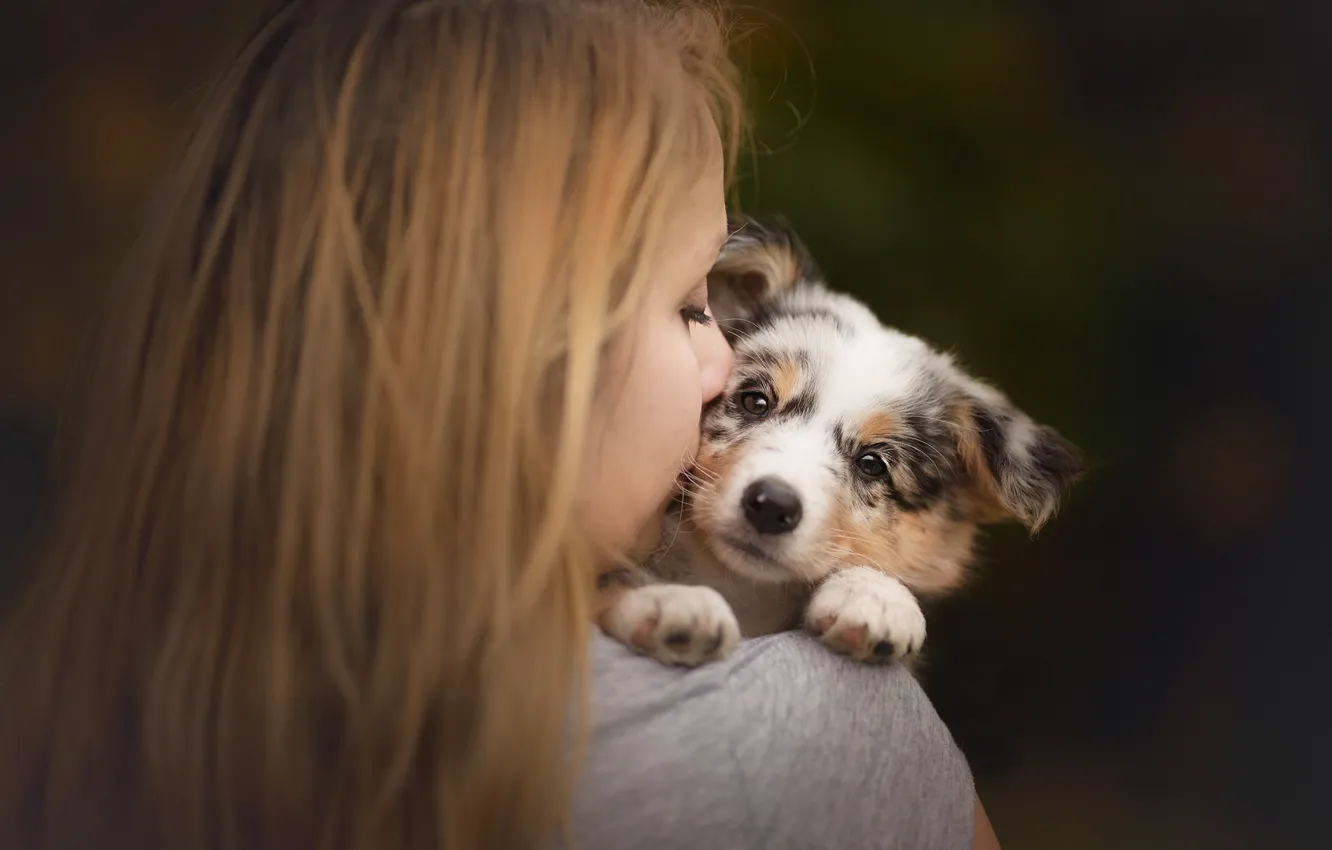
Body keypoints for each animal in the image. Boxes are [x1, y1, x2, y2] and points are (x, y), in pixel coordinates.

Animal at [599, 218, 1076, 671]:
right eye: (755, 401)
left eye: (873, 464)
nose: (771, 505)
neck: (743, 588)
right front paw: (668, 601)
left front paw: (874, 597)